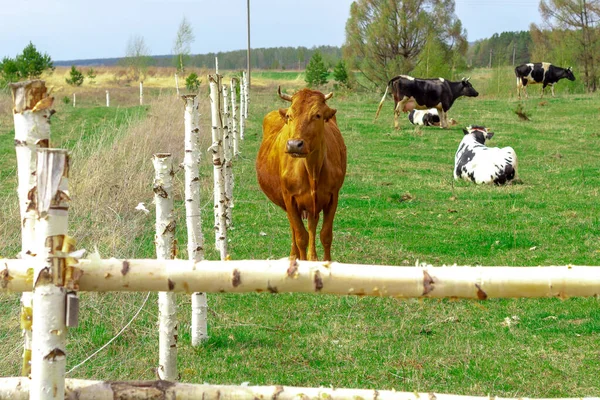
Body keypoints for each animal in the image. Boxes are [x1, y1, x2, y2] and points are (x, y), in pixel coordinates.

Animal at [256, 87, 346, 260]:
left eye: (317, 115)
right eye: (290, 116)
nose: (294, 145)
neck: (312, 170)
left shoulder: (333, 197)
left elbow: (326, 235)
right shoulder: (290, 199)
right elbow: (300, 237)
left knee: (311, 225)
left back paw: (313, 257)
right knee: (294, 230)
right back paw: (293, 256)